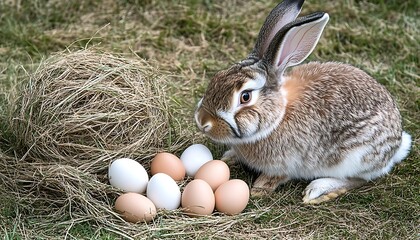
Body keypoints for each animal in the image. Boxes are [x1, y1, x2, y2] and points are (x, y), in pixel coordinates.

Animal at [195, 0, 412, 204]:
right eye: (217, 77)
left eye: (245, 96)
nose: (202, 121)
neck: (278, 116)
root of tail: (397, 144)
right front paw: (229, 156)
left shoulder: (287, 163)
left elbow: (277, 177)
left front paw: (259, 189)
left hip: (356, 157)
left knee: (359, 179)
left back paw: (319, 190)